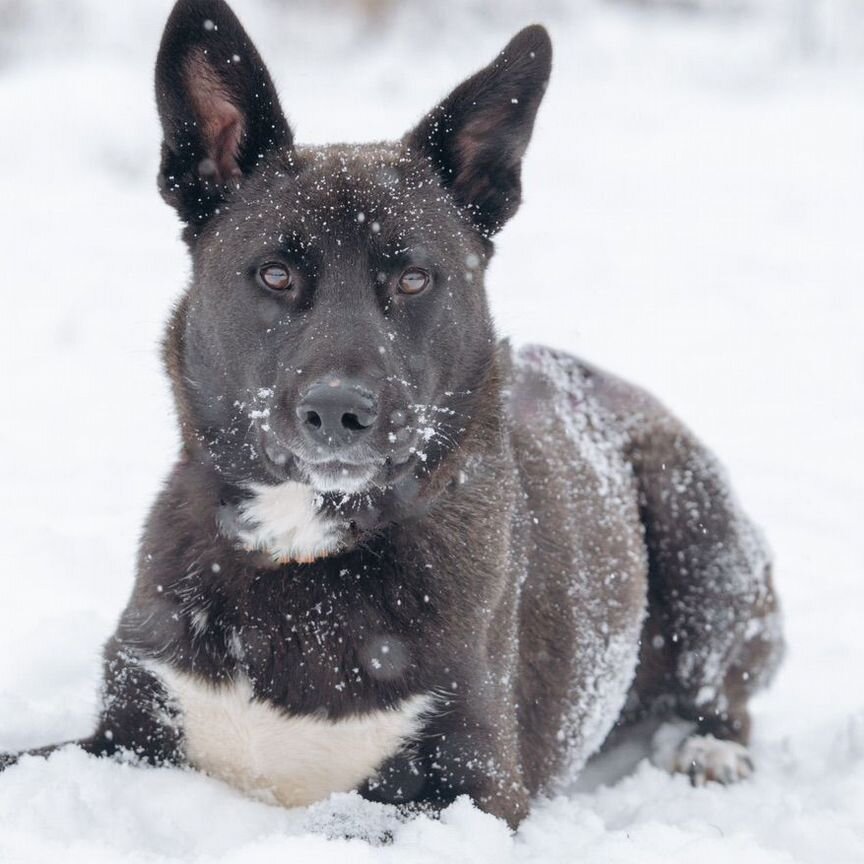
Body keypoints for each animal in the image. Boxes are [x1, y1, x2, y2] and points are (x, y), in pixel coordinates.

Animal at [0, 0, 784, 828]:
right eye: (274, 274)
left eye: (412, 279)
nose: (338, 411)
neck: (304, 542)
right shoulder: (125, 734)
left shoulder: (474, 786)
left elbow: (349, 819)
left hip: (700, 532)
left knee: (721, 687)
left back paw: (707, 749)